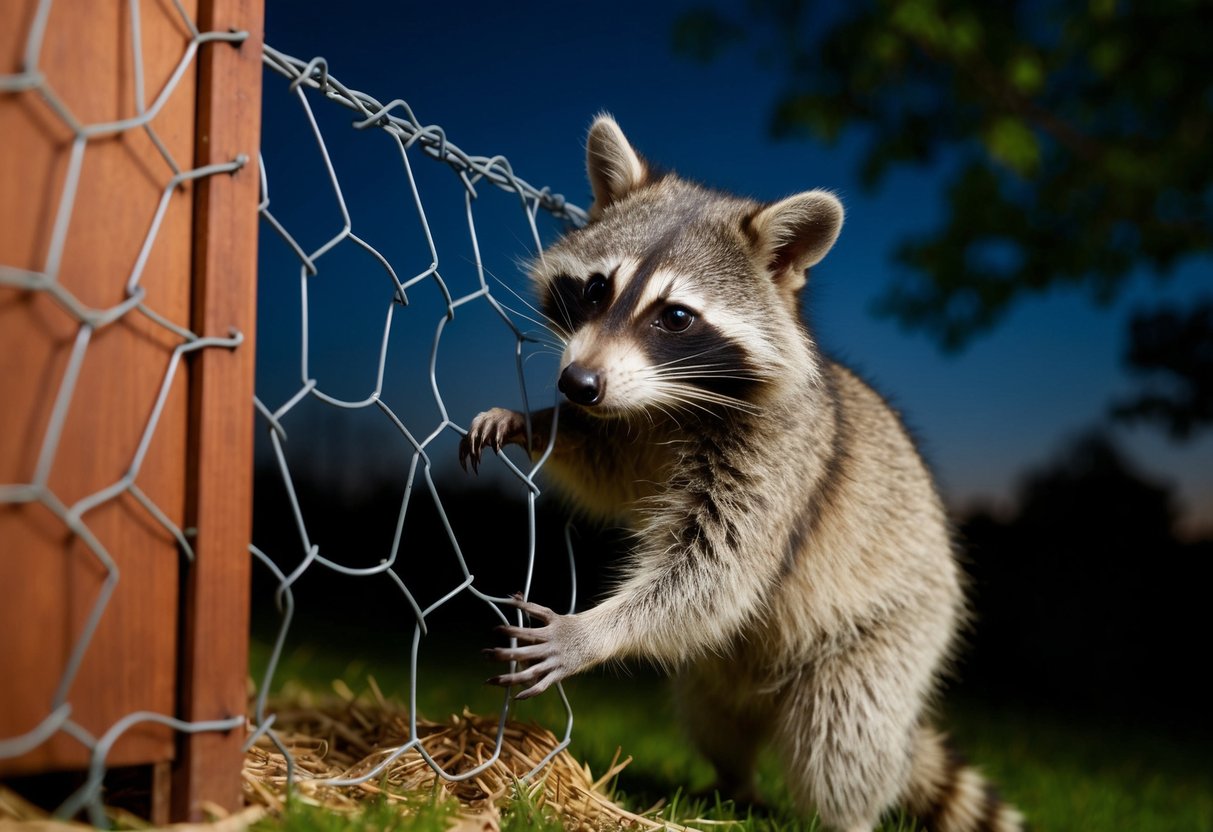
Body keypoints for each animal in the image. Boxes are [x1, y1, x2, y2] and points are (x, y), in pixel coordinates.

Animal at [459, 115, 1023, 832]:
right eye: (595, 289)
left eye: (676, 316)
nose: (577, 384)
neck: (674, 400)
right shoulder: (637, 428)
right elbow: (613, 474)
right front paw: (533, 421)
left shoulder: (777, 462)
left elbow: (714, 573)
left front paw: (595, 631)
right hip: (719, 671)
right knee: (714, 714)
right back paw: (733, 784)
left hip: (895, 630)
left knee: (842, 736)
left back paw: (843, 813)